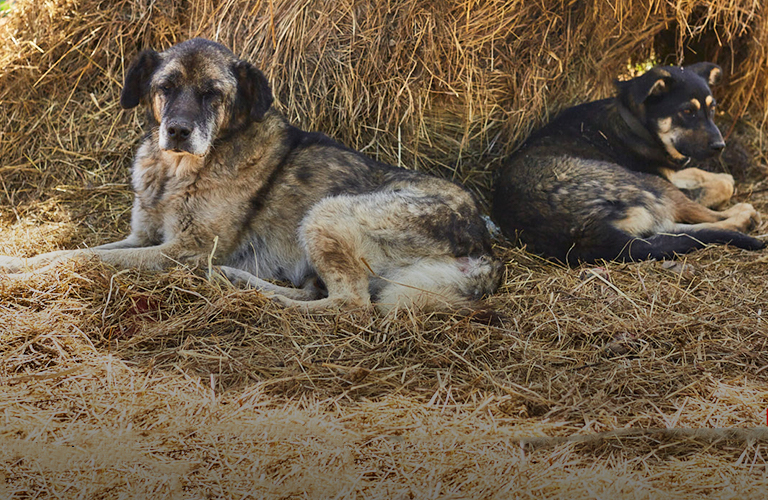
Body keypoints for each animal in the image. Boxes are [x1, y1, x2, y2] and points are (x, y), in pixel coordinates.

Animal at [1, 39, 504, 312]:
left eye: (212, 94)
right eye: (165, 88)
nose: (177, 131)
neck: (178, 173)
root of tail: (483, 243)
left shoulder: (182, 252)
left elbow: (82, 259)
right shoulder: (142, 239)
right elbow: (73, 249)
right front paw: (17, 262)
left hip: (329, 213)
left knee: (350, 306)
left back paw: (256, 297)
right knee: (319, 292)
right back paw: (235, 279)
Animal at [496, 63, 764, 262]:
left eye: (713, 109)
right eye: (688, 111)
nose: (720, 146)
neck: (635, 123)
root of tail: (585, 232)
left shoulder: (667, 170)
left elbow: (703, 173)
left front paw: (717, 176)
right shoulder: (661, 177)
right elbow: (720, 185)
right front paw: (719, 187)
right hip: (650, 184)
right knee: (713, 221)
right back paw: (742, 216)